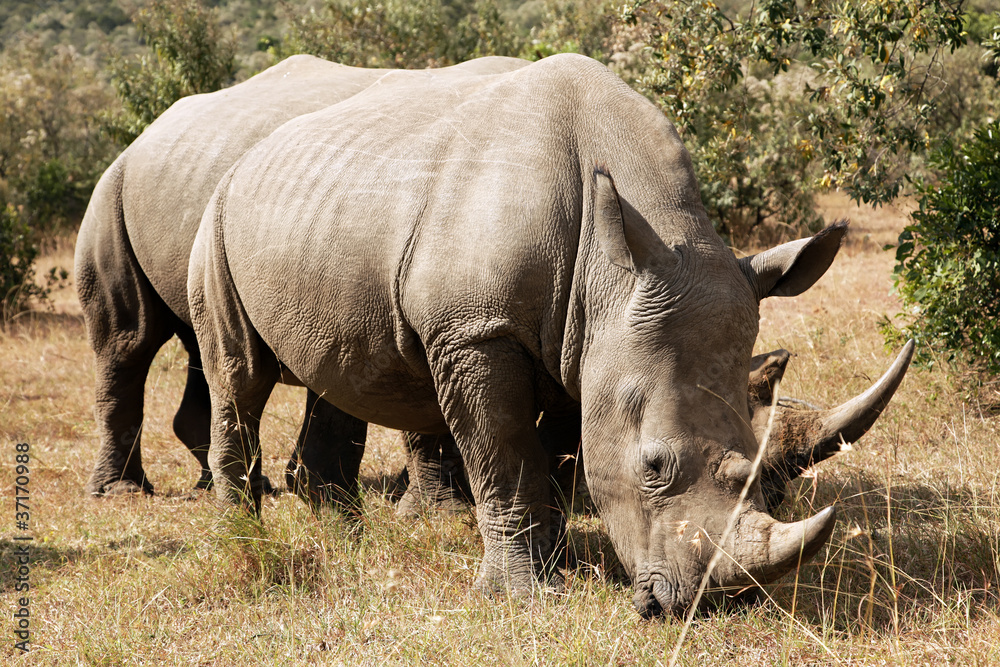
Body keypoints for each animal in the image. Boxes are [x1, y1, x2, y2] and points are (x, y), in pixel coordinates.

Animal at [189, 53, 912, 615]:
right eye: (653, 466)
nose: (716, 603)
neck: (609, 269)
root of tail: (249, 155)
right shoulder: (474, 331)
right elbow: (505, 456)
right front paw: (524, 594)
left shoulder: (588, 342)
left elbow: (565, 454)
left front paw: (561, 563)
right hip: (215, 217)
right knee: (238, 374)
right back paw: (241, 543)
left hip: (313, 212)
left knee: (332, 371)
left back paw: (343, 537)